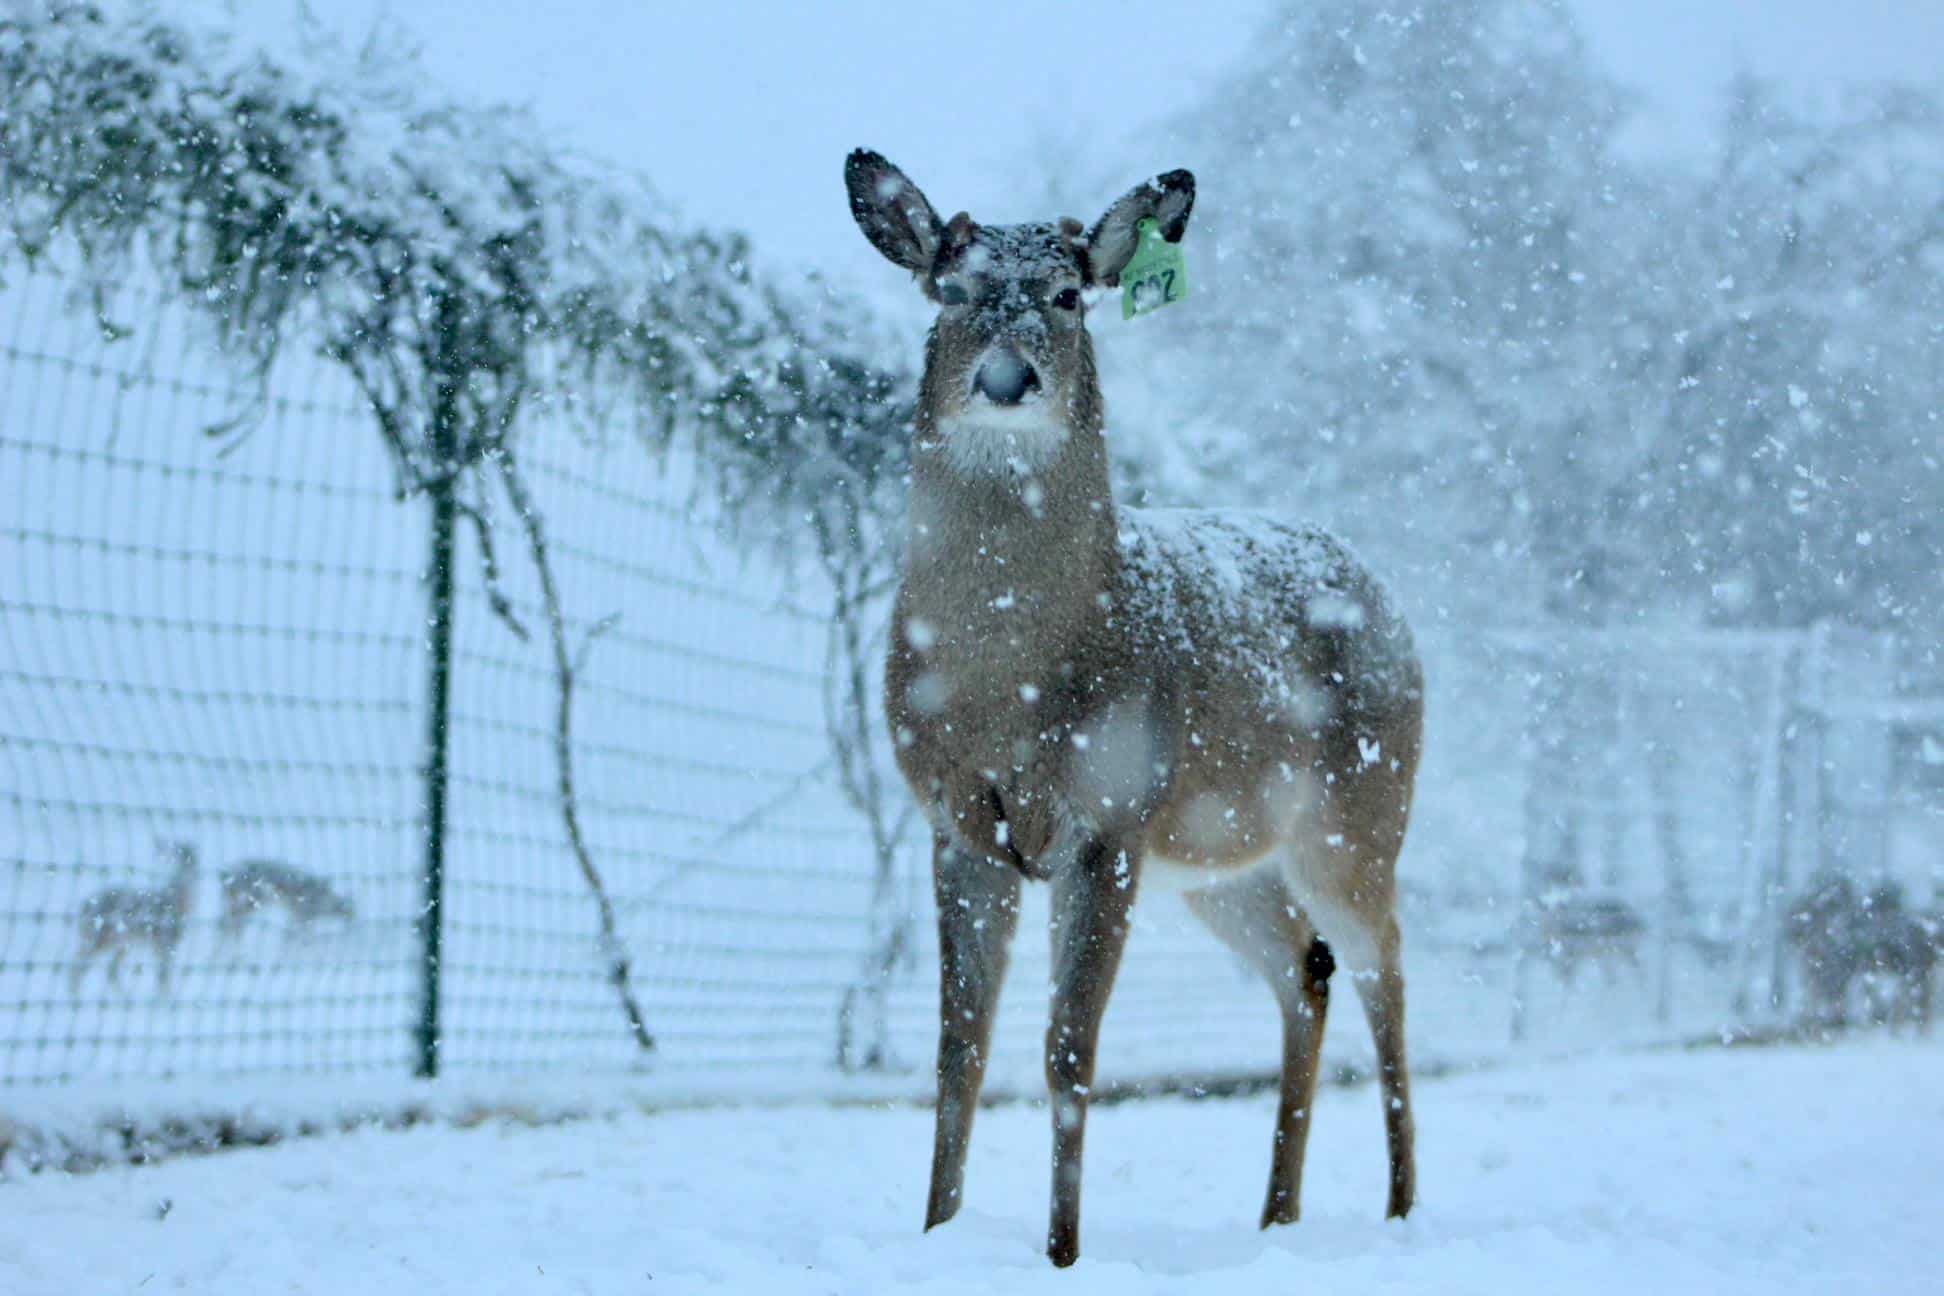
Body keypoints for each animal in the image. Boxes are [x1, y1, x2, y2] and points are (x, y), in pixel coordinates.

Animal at [71, 840, 198, 995]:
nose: (186, 870)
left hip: (119, 943)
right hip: (101, 938)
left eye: (188, 856)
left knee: (110, 969)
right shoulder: (164, 942)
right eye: (180, 855)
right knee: (81, 962)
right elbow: (163, 976)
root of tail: (83, 906)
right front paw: (165, 995)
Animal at [218, 858, 355, 944]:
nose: (353, 924)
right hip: (249, 904)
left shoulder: (297, 916)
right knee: (230, 925)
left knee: (229, 925)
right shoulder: (302, 916)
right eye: (350, 912)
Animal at [845, 150, 1424, 1267]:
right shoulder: (956, 821)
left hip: (1359, 812)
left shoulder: (1109, 815)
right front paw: (937, 1231)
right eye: (950, 288)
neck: (1008, 687)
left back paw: (1402, 1211)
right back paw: (1275, 1216)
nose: (1006, 380)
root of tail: (1380, 586)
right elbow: (958, 1050)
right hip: (1216, 854)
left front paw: (1063, 1252)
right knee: (1306, 965)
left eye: (1070, 296)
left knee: (1385, 967)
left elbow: (1069, 1049)